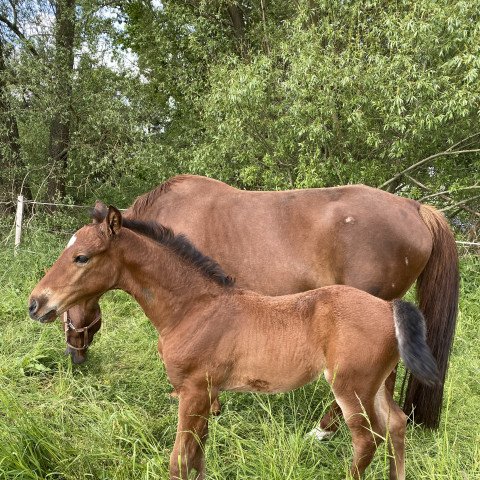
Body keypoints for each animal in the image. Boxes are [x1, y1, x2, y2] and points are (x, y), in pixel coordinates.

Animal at [27, 206, 438, 480]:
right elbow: (197, 457)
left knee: (367, 441)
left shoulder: (193, 390)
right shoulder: (208, 394)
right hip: (376, 384)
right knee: (396, 425)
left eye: (81, 257)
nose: (36, 304)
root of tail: (389, 308)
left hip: (350, 387)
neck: (194, 308)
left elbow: (179, 460)